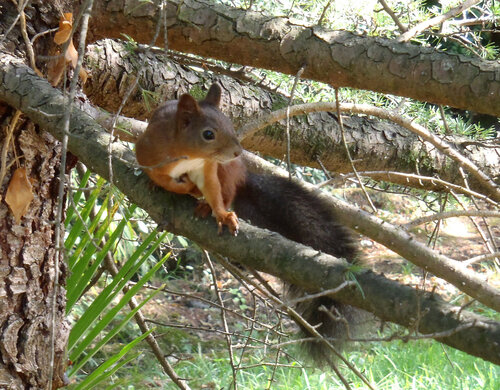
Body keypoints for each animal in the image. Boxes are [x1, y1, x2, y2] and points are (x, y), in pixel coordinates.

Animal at [135, 84, 358, 364]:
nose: (237, 151)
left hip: (227, 171)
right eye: (208, 134)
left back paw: (207, 206)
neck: (188, 156)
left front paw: (219, 211)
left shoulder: (208, 168)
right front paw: (173, 185)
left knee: (227, 191)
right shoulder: (147, 151)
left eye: (230, 124)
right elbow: (160, 176)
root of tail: (242, 172)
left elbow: (213, 189)